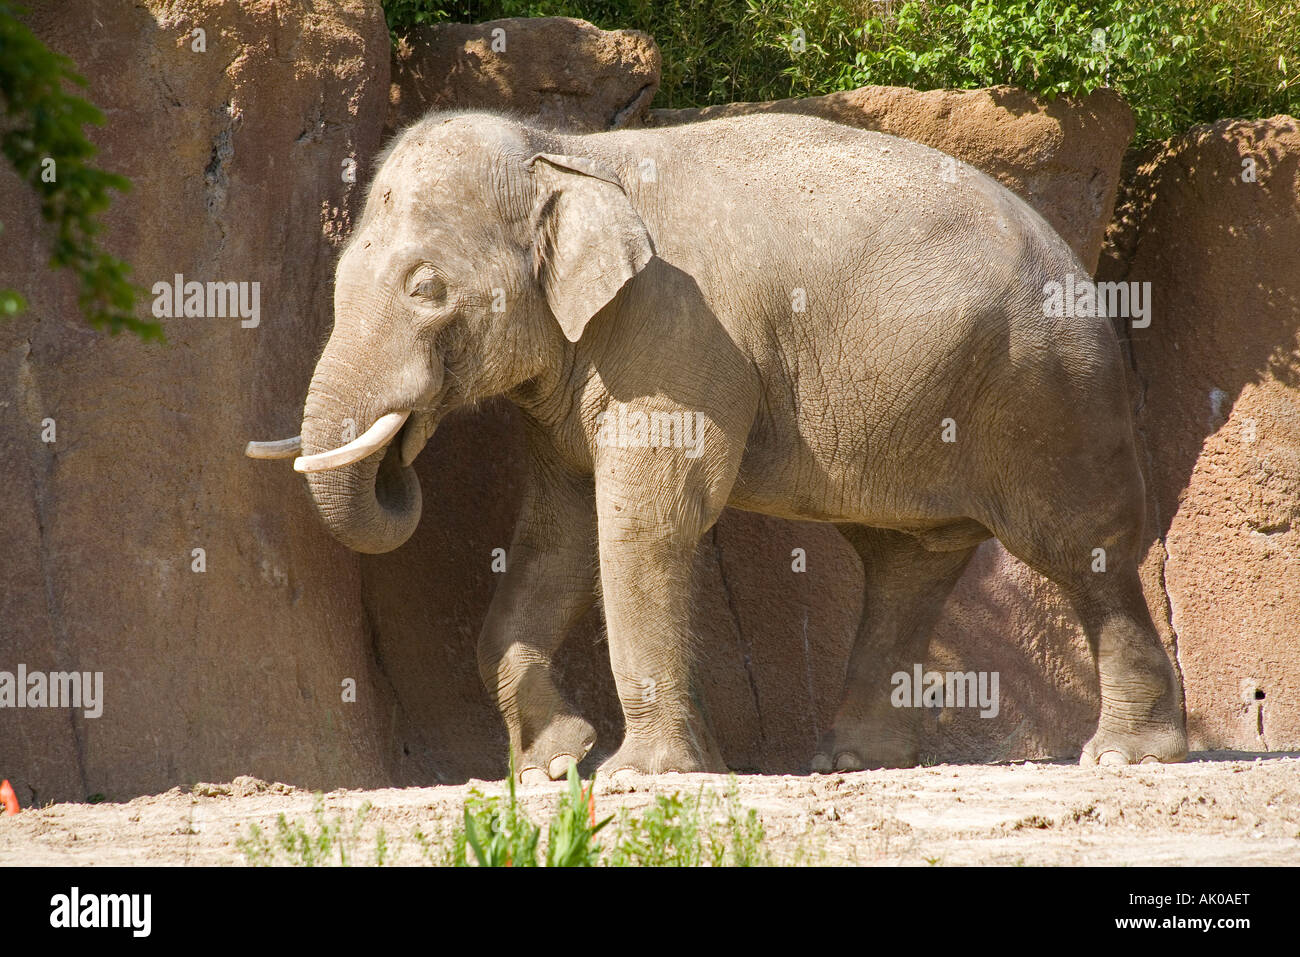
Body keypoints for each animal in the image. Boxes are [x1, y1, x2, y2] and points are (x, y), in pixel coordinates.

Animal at [247, 108, 1188, 780]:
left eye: (427, 290)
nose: (403, 453)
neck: (568, 152)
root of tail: (1080, 259)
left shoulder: (676, 334)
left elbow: (644, 521)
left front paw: (638, 775)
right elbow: (557, 537)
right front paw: (559, 761)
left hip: (1052, 390)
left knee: (1083, 551)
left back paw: (1124, 756)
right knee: (905, 565)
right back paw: (851, 760)